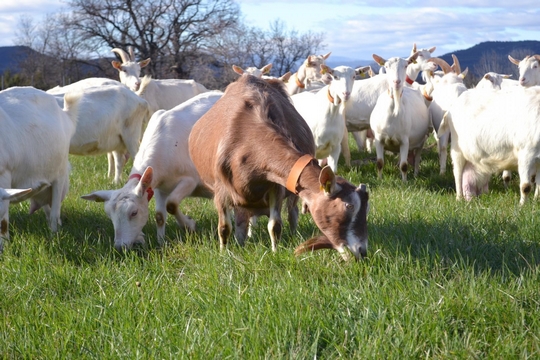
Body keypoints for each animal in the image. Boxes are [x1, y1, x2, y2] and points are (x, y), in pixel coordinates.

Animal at [79, 90, 221, 250]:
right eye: (109, 215)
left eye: (134, 213)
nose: (120, 247)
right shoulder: (160, 186)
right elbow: (159, 215)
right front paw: (161, 242)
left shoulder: (189, 180)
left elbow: (171, 205)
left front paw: (189, 225)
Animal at [188, 74, 370, 260]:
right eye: (349, 206)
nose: (362, 251)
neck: (248, 143)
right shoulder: (221, 190)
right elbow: (224, 227)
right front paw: (224, 254)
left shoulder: (276, 187)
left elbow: (275, 225)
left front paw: (275, 252)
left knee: (291, 213)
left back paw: (293, 234)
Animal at [370, 52, 428, 181]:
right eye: (386, 66)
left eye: (406, 65)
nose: (397, 82)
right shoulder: (379, 139)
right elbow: (379, 162)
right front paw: (379, 180)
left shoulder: (404, 141)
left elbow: (404, 165)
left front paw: (404, 182)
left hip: (421, 142)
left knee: (417, 159)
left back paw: (416, 175)